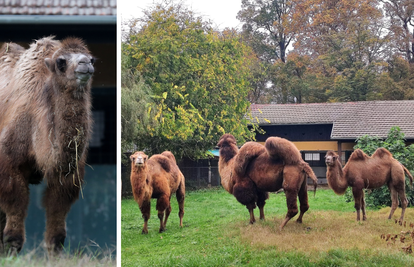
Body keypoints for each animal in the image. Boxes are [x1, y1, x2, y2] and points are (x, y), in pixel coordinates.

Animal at [0, 36, 94, 255]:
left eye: (92, 58)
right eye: (61, 62)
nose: (86, 64)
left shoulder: (66, 175)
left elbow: (57, 229)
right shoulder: (8, 165)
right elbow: (14, 213)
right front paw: (10, 254)